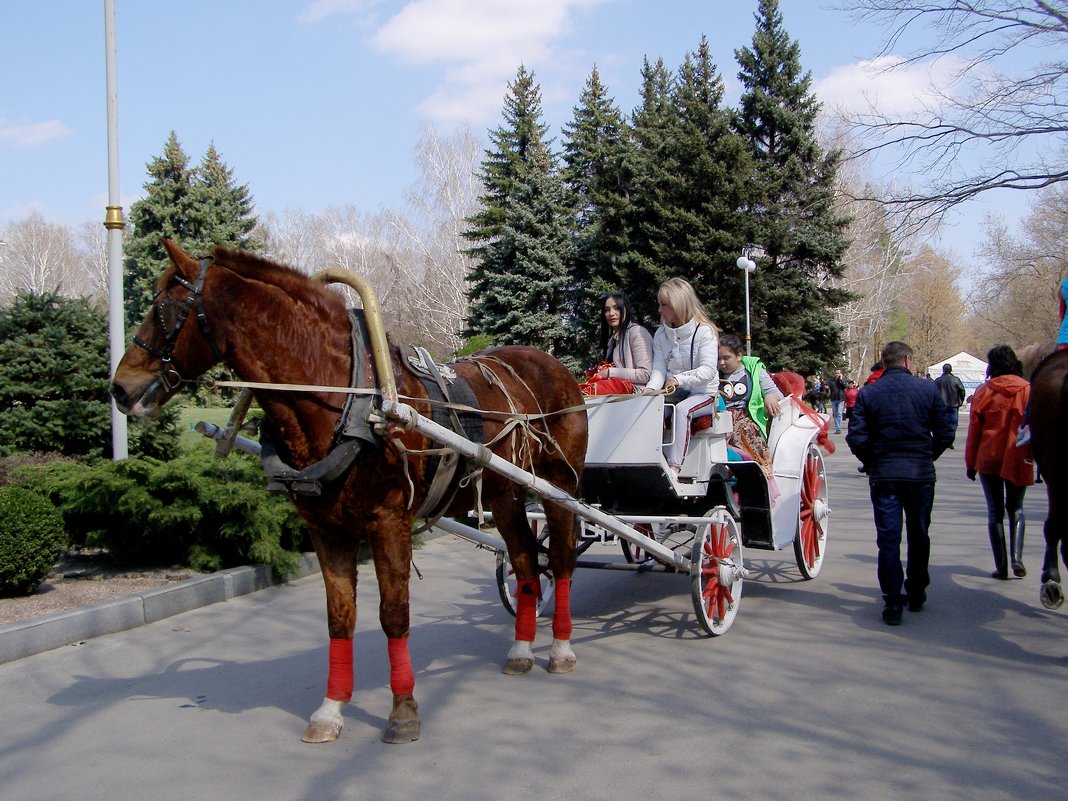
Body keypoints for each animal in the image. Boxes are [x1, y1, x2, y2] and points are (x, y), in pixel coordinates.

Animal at [112, 240, 589, 747]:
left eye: (165, 307)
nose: (120, 388)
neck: (346, 397)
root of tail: (554, 365)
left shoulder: (389, 523)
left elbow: (394, 614)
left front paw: (403, 710)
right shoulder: (326, 529)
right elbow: (339, 617)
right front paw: (331, 709)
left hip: (559, 485)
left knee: (560, 559)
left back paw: (560, 647)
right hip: (505, 493)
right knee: (525, 563)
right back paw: (521, 648)